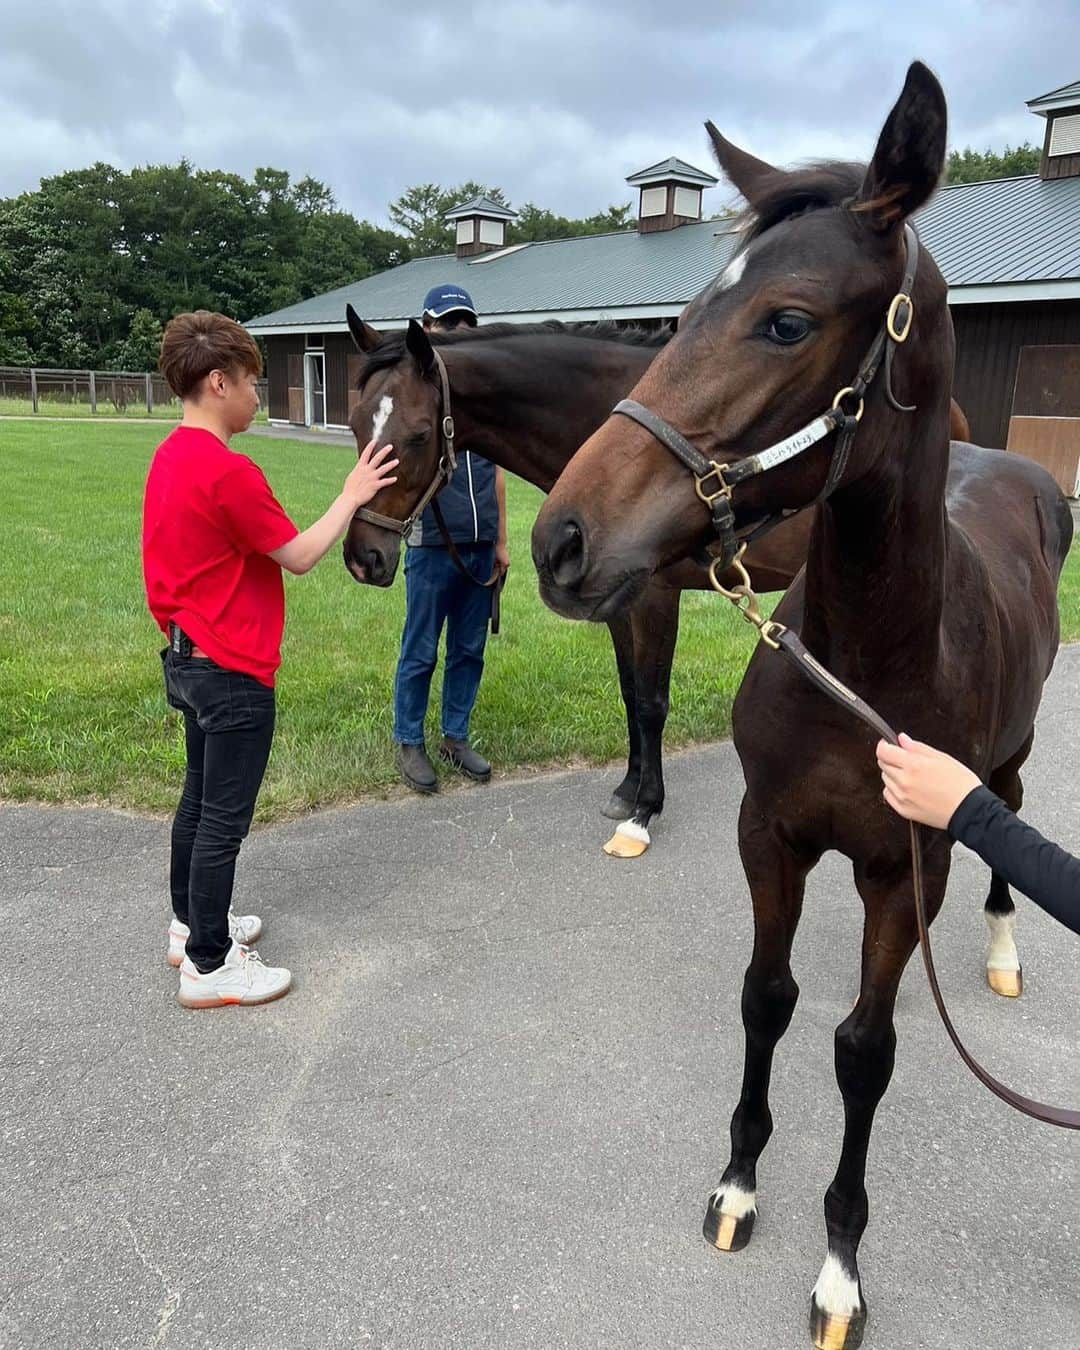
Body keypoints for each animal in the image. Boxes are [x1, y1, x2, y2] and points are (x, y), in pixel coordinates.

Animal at [344, 313, 972, 853]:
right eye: (354, 424)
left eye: (419, 434)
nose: (362, 557)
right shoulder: (616, 605)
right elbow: (629, 693)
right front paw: (627, 789)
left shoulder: (653, 597)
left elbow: (650, 702)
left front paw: (644, 811)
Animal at [526, 68, 1069, 1350]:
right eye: (683, 313)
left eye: (784, 321)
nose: (562, 541)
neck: (864, 670)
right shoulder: (769, 834)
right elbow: (766, 1001)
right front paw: (736, 1183)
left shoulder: (902, 868)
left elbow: (864, 1049)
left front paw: (839, 1267)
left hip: (1010, 764)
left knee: (1012, 832)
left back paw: (1006, 949)